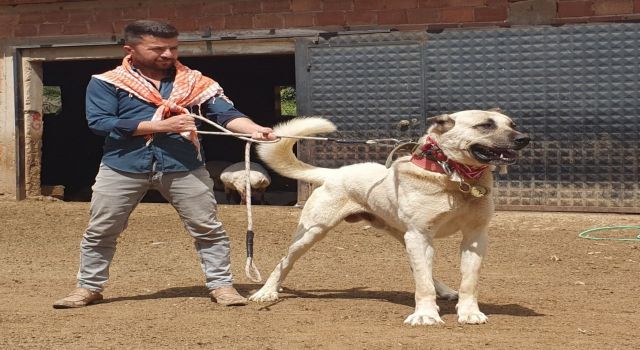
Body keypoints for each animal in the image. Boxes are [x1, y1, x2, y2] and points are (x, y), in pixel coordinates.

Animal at [250, 110, 528, 326]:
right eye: (485, 125)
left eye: (512, 124)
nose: (525, 138)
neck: (453, 178)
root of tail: (334, 173)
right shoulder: (420, 235)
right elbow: (423, 284)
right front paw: (426, 316)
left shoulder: (475, 236)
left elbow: (468, 281)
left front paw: (469, 313)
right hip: (311, 233)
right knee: (284, 262)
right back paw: (266, 292)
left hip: (402, 236)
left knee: (423, 270)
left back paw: (446, 291)